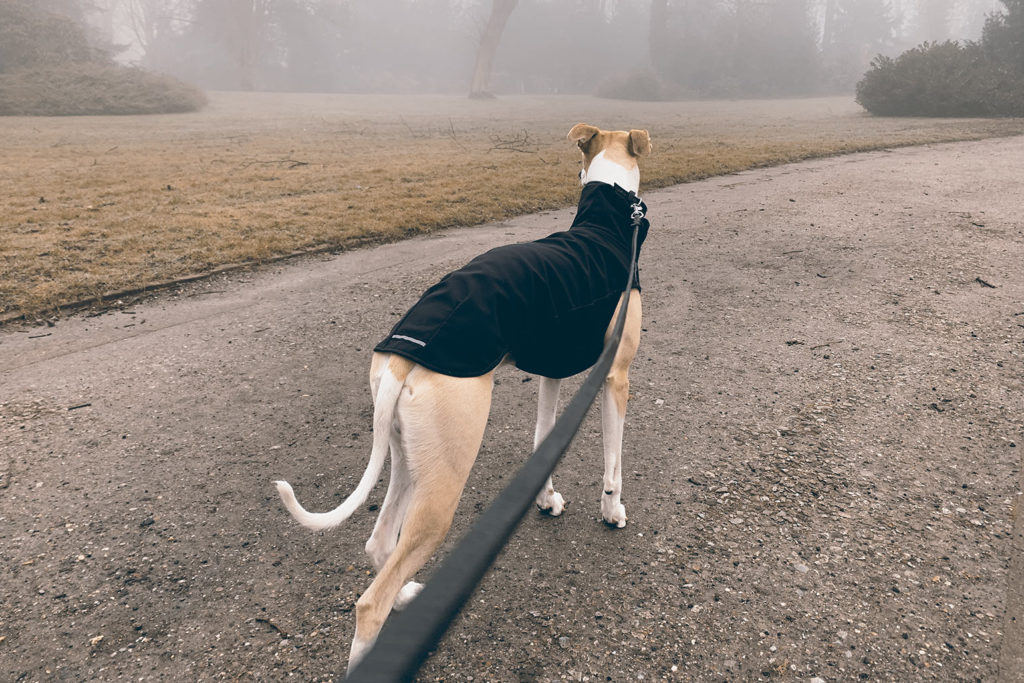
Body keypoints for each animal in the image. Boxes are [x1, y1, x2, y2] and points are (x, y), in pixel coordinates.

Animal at [276, 122, 651, 667]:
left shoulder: (551, 374)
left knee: (380, 544)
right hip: (445, 481)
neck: (605, 228)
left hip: (413, 459)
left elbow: (543, 440)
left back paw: (409, 595)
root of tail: (405, 353)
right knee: (370, 603)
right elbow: (613, 461)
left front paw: (545, 499)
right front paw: (611, 511)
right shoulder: (614, 377)